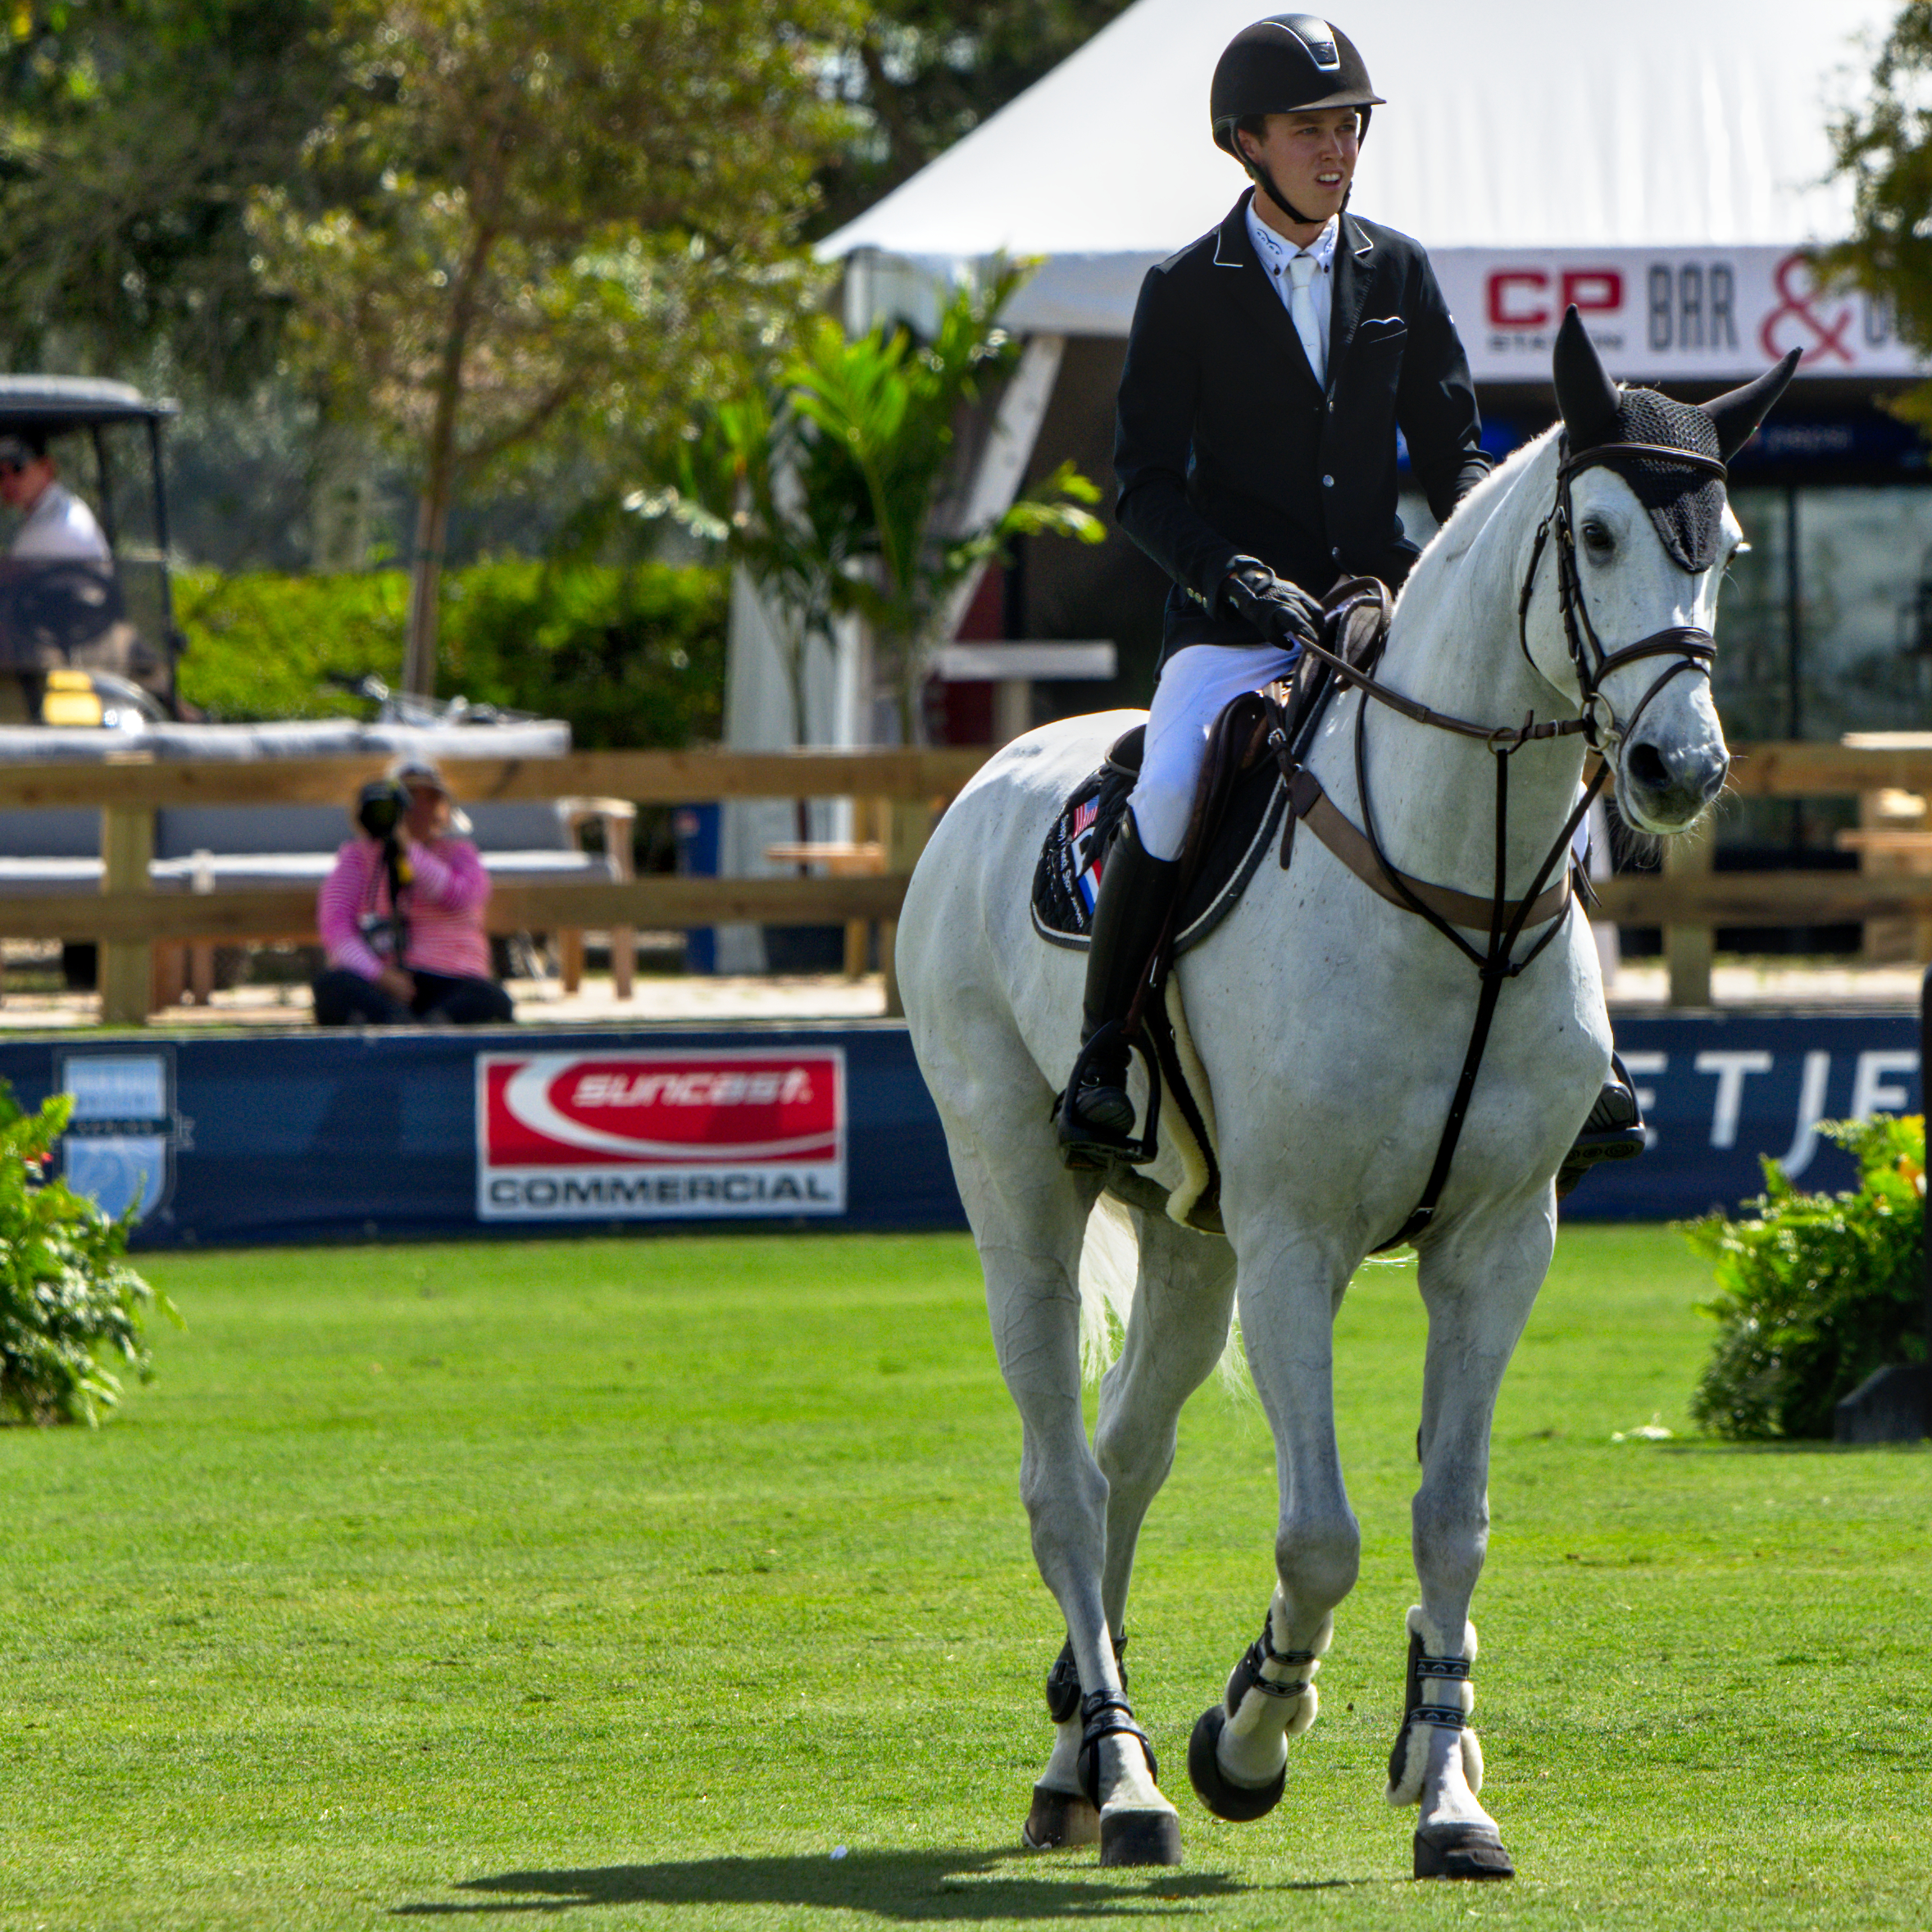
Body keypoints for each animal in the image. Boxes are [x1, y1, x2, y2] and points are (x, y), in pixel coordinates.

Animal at [896, 312, 1800, 1870]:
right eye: (1599, 533)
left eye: (1727, 547)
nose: (1678, 766)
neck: (1458, 879)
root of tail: (994, 772)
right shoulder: (1297, 1247)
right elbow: (1320, 1535)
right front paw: (1248, 1733)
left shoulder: (1496, 1245)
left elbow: (1450, 1521)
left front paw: (1447, 1791)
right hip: (1021, 1188)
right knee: (1064, 1483)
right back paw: (1129, 1778)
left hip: (1191, 1242)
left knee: (1128, 1455)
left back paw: (1079, 1754)